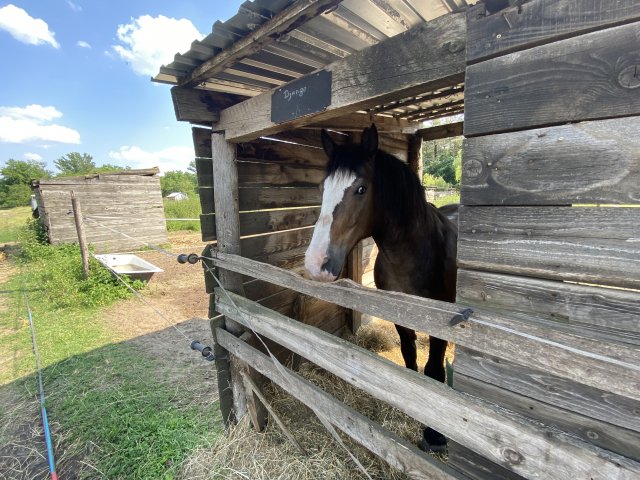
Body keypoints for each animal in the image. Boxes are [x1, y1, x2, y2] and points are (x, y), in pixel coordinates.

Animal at [304, 123, 458, 450]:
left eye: (361, 189)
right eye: (323, 188)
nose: (316, 263)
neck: (415, 255)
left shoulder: (439, 325)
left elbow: (434, 370)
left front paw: (434, 434)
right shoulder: (399, 316)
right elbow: (410, 358)